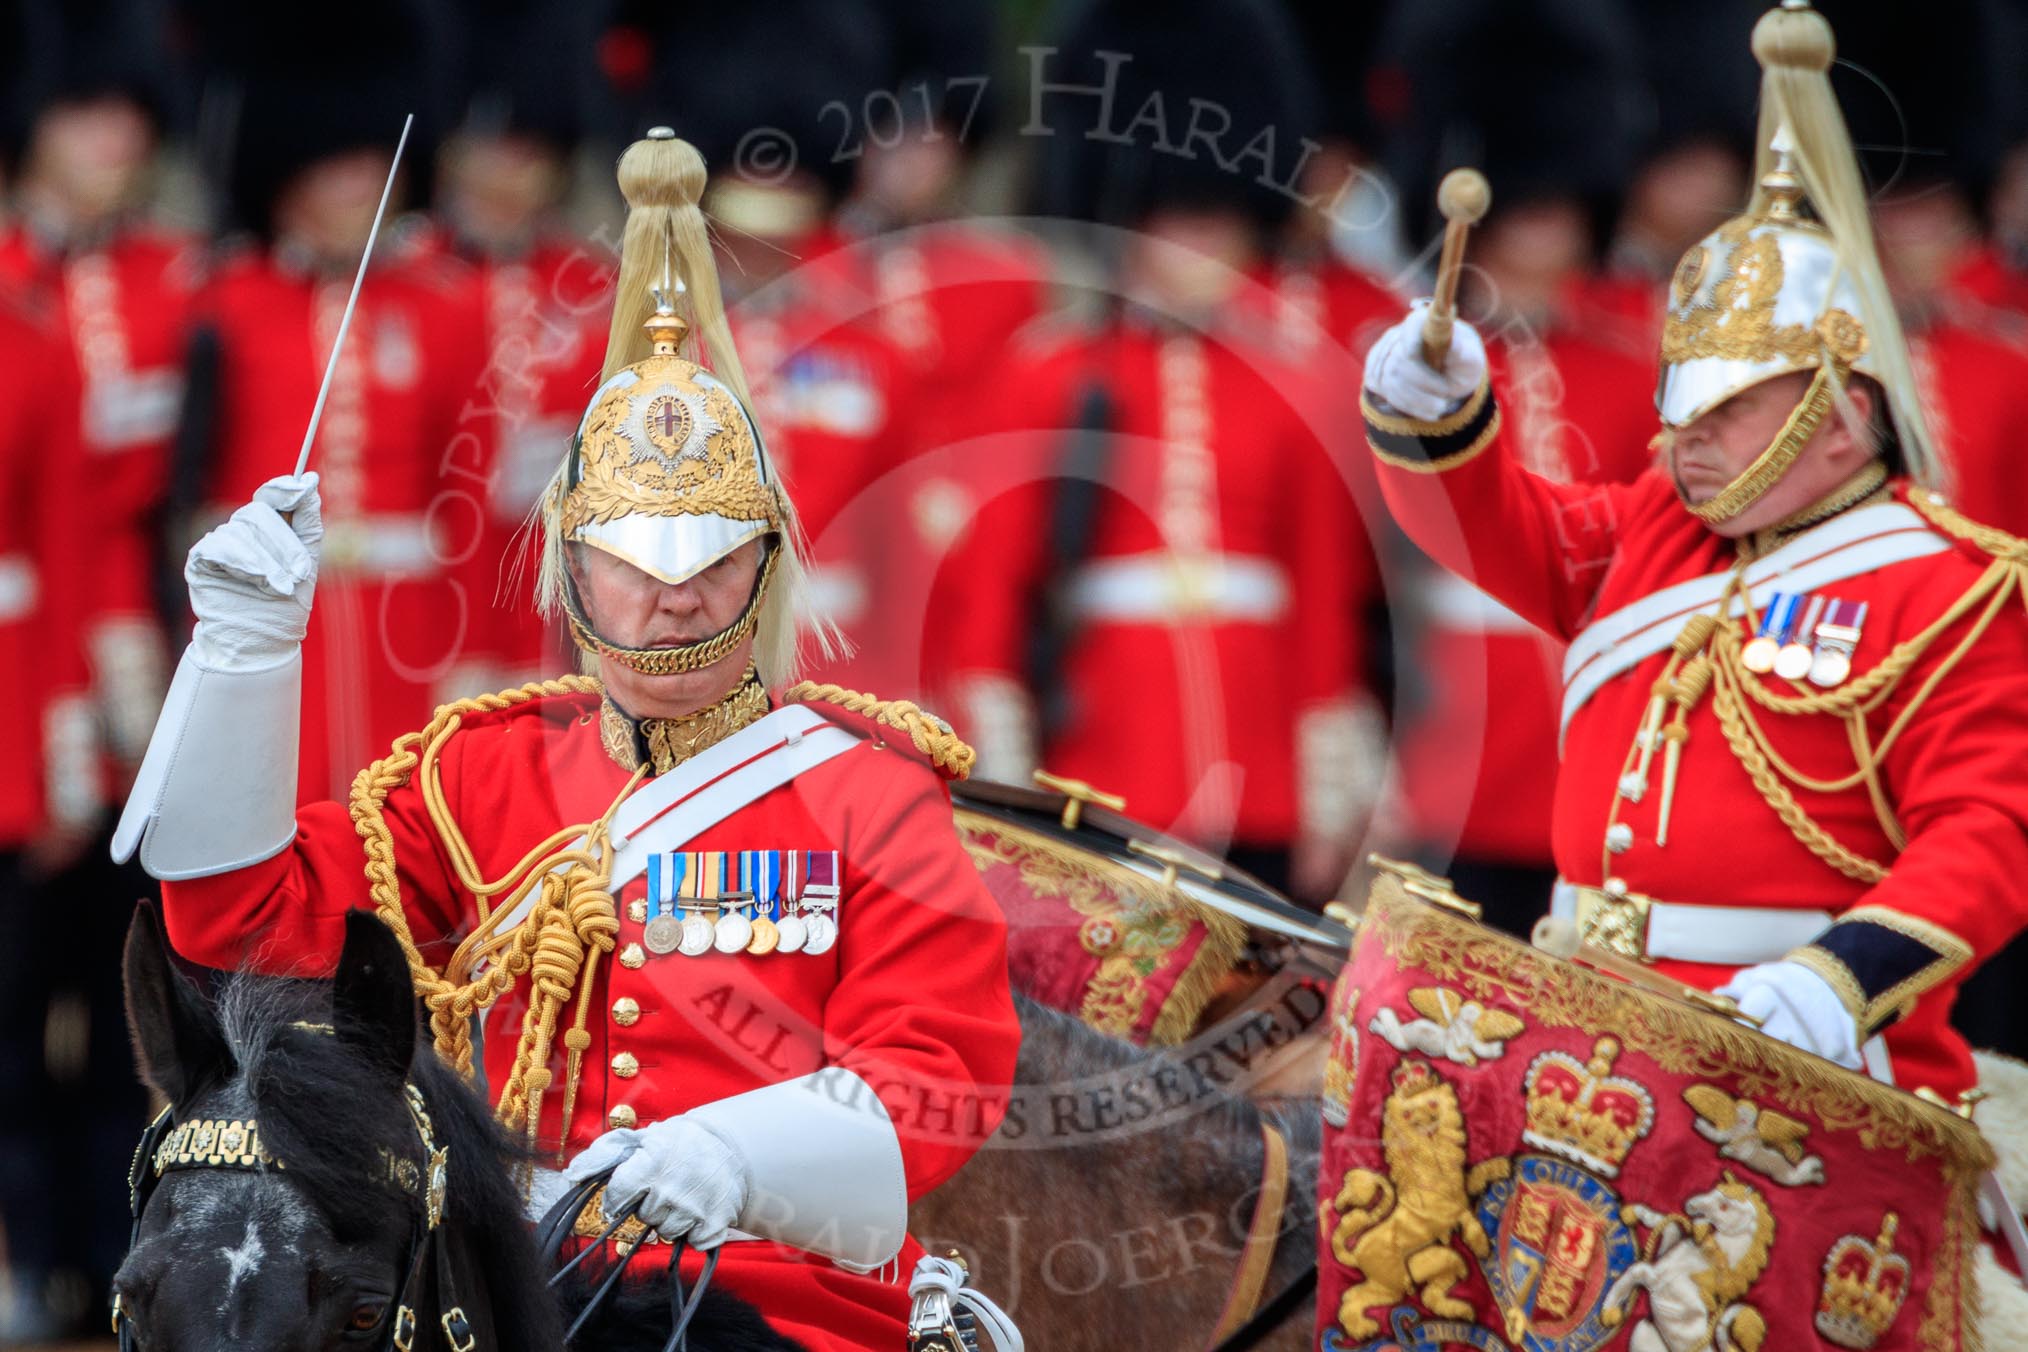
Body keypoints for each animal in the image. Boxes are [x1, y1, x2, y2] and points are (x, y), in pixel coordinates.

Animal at [1330, 1054, 1508, 1345]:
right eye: (1407, 1115)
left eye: (1433, 1103)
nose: (1425, 1122)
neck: (1431, 1156)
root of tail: (1356, 1253)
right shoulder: (1450, 1211)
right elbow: (1468, 1220)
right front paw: (1481, 1245)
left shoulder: (1461, 1189)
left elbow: (1477, 1174)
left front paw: (1501, 1166)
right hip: (1390, 1282)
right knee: (1353, 1298)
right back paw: (1362, 1328)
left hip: (1433, 1262)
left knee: (1430, 1290)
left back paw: (1458, 1310)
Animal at [1598, 1175, 1776, 1352]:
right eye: (1715, 1189)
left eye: (1724, 1206)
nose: (1690, 1205)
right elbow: (1671, 1226)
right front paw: (1631, 1213)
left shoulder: (1654, 1279)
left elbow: (1636, 1271)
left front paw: (1609, 1312)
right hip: (1643, 1330)